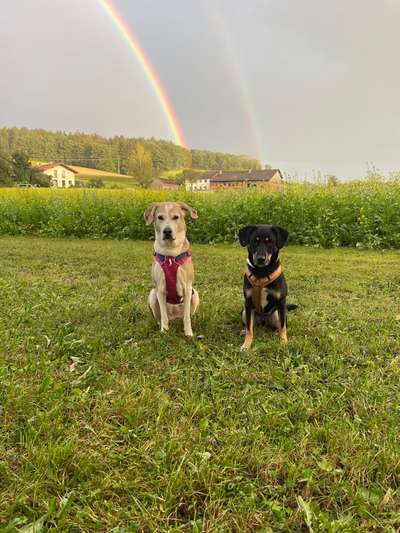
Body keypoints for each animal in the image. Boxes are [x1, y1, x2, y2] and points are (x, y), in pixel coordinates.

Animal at [145, 202, 199, 334]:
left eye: (176, 217)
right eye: (160, 217)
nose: (167, 231)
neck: (170, 254)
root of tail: (175, 317)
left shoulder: (187, 288)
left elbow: (186, 317)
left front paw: (188, 333)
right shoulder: (160, 289)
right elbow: (163, 316)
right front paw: (164, 331)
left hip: (195, 294)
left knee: (188, 315)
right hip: (152, 294)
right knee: (160, 317)